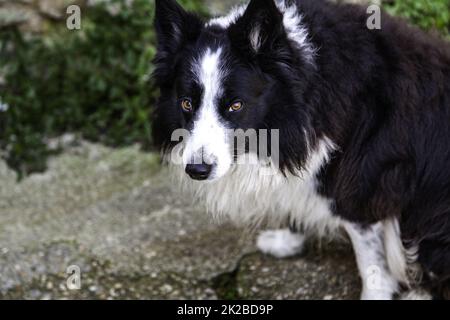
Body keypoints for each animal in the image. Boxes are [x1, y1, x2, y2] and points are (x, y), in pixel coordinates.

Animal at [153, 0, 450, 300]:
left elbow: (370, 259)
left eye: (235, 105)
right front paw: (285, 241)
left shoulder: (363, 185)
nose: (197, 170)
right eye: (187, 103)